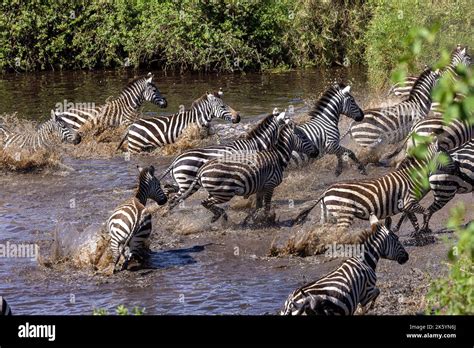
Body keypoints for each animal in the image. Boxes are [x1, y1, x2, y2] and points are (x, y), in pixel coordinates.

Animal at [172, 119, 316, 223]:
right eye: (304, 137)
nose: (317, 151)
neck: (278, 156)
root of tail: (202, 169)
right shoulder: (270, 185)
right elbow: (267, 206)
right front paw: (267, 220)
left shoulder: (261, 187)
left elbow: (258, 206)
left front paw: (253, 219)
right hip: (222, 192)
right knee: (203, 202)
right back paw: (219, 217)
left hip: (212, 190)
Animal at [280, 215, 410, 316]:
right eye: (397, 239)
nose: (407, 257)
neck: (365, 261)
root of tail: (291, 303)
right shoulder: (366, 292)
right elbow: (377, 292)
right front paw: (368, 308)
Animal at [294, 140, 458, 235]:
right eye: (447, 156)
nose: (456, 169)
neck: (413, 177)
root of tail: (325, 192)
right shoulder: (409, 202)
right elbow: (425, 213)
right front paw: (425, 231)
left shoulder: (406, 205)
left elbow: (412, 220)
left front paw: (419, 235)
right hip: (344, 214)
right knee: (336, 234)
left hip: (328, 215)